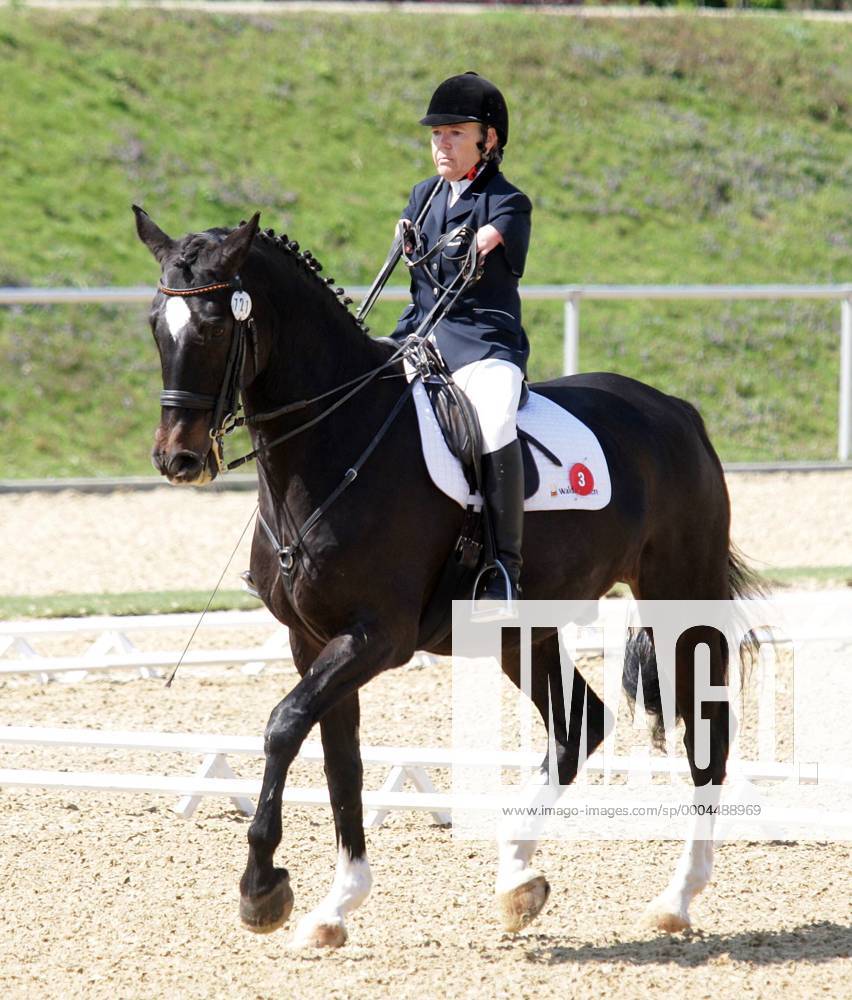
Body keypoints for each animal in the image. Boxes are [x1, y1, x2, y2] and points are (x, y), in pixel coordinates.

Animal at [136, 209, 756, 944]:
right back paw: (518, 879)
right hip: (525, 631)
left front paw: (262, 889)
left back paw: (677, 897)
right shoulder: (313, 641)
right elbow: (341, 763)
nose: (177, 459)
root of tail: (676, 410)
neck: (338, 441)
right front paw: (335, 905)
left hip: (679, 602)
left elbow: (284, 725)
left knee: (704, 735)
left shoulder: (379, 637)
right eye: (155, 323)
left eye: (212, 326)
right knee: (579, 726)